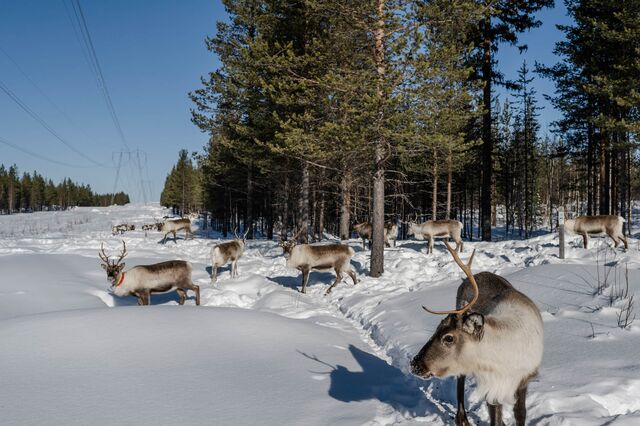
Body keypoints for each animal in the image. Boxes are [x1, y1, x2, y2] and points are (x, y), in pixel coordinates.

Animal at [410, 242, 543, 426]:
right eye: (436, 329)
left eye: (448, 338)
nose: (414, 363)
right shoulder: (491, 385)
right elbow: (495, 418)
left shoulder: (524, 378)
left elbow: (520, 413)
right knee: (460, 379)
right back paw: (462, 419)